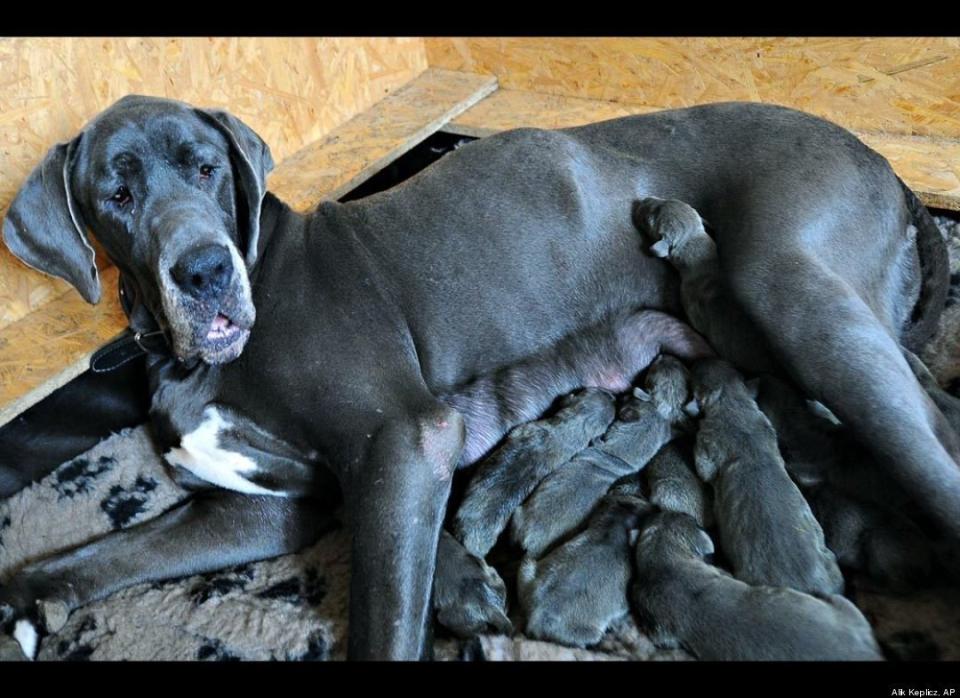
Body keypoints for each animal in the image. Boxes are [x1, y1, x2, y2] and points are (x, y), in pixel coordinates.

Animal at [688, 358, 840, 592]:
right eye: (730, 368)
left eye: (697, 373)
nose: (701, 358)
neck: (732, 402)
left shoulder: (707, 444)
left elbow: (703, 468)